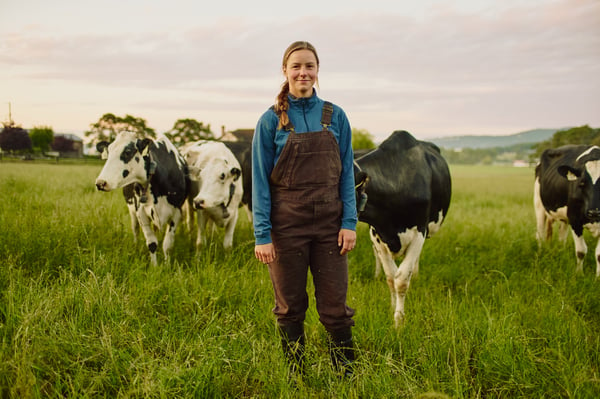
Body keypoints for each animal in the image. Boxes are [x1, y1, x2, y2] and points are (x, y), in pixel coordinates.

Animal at [95, 131, 189, 268]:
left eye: (127, 152)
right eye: (109, 151)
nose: (100, 183)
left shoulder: (177, 212)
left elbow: (167, 244)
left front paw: (167, 265)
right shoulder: (141, 212)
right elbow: (152, 243)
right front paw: (154, 267)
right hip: (132, 211)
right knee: (135, 229)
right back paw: (135, 246)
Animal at [352, 131, 450, 328]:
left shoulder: (419, 231)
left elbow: (402, 279)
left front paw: (399, 322)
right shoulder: (377, 234)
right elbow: (391, 277)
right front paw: (392, 308)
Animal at [536, 145, 600, 278]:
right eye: (581, 183)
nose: (594, 212)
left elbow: (599, 254)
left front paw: (597, 277)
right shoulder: (575, 220)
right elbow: (581, 251)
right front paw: (579, 274)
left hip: (564, 218)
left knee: (562, 238)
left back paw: (562, 253)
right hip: (539, 205)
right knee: (539, 234)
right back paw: (540, 253)